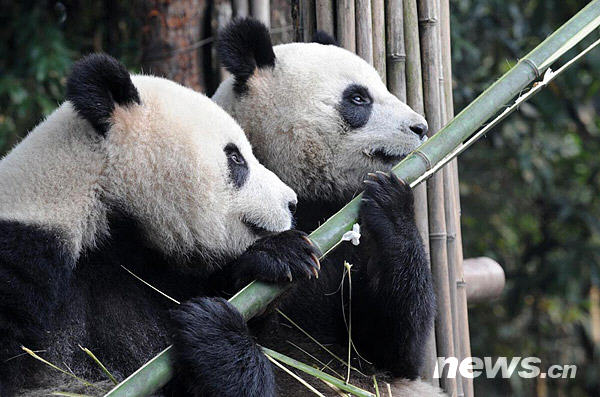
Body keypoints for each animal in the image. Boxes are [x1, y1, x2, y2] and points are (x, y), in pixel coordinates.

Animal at [211, 19, 440, 396]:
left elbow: (391, 351)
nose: (420, 127)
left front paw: (391, 203)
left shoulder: (348, 235)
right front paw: (276, 256)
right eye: (358, 98)